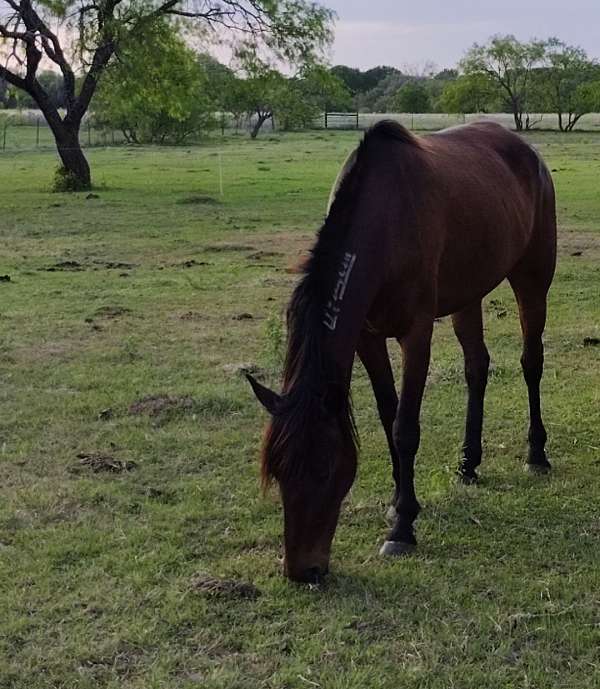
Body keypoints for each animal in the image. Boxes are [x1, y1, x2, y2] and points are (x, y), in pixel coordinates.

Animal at [247, 120, 557, 583]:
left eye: (325, 469)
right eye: (279, 469)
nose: (303, 571)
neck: (384, 222)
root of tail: (528, 151)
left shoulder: (417, 334)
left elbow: (405, 427)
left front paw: (402, 528)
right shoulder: (368, 338)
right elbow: (387, 413)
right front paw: (398, 502)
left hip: (532, 278)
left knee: (531, 363)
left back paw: (536, 454)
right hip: (468, 292)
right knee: (477, 367)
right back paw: (468, 463)